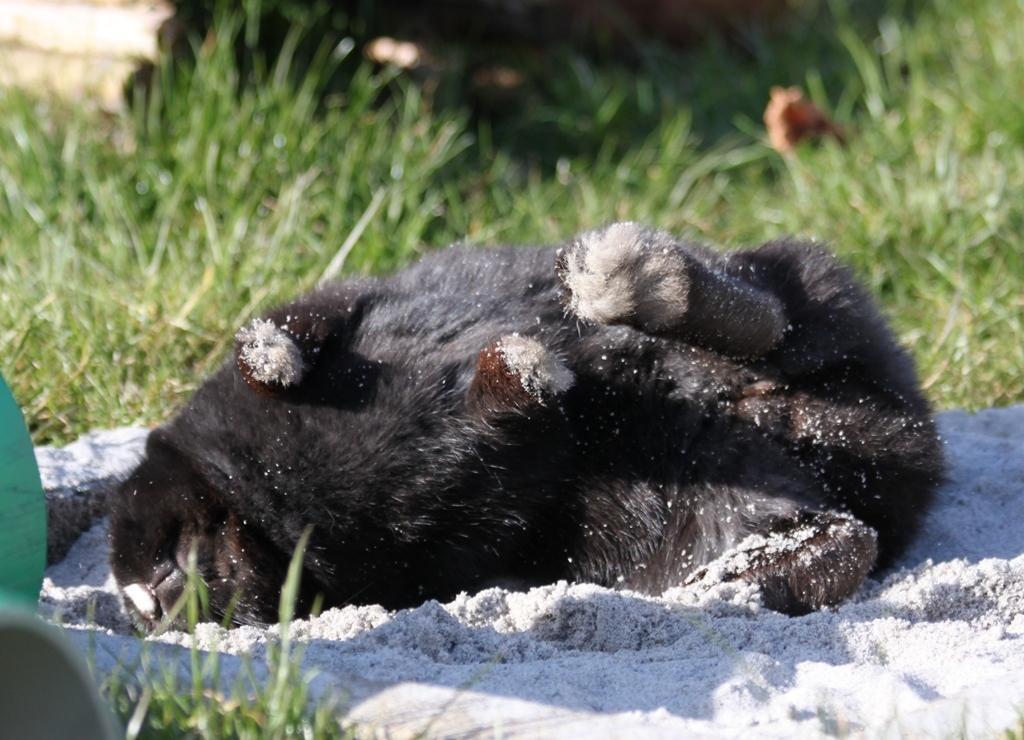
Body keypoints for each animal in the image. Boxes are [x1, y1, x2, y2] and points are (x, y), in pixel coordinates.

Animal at [108, 223, 937, 626]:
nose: (148, 600)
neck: (266, 508)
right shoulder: (444, 532)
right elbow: (500, 426)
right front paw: (518, 375)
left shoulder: (344, 302)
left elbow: (286, 328)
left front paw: (272, 358)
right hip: (717, 503)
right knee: (842, 537)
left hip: (804, 292)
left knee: (768, 312)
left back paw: (631, 279)